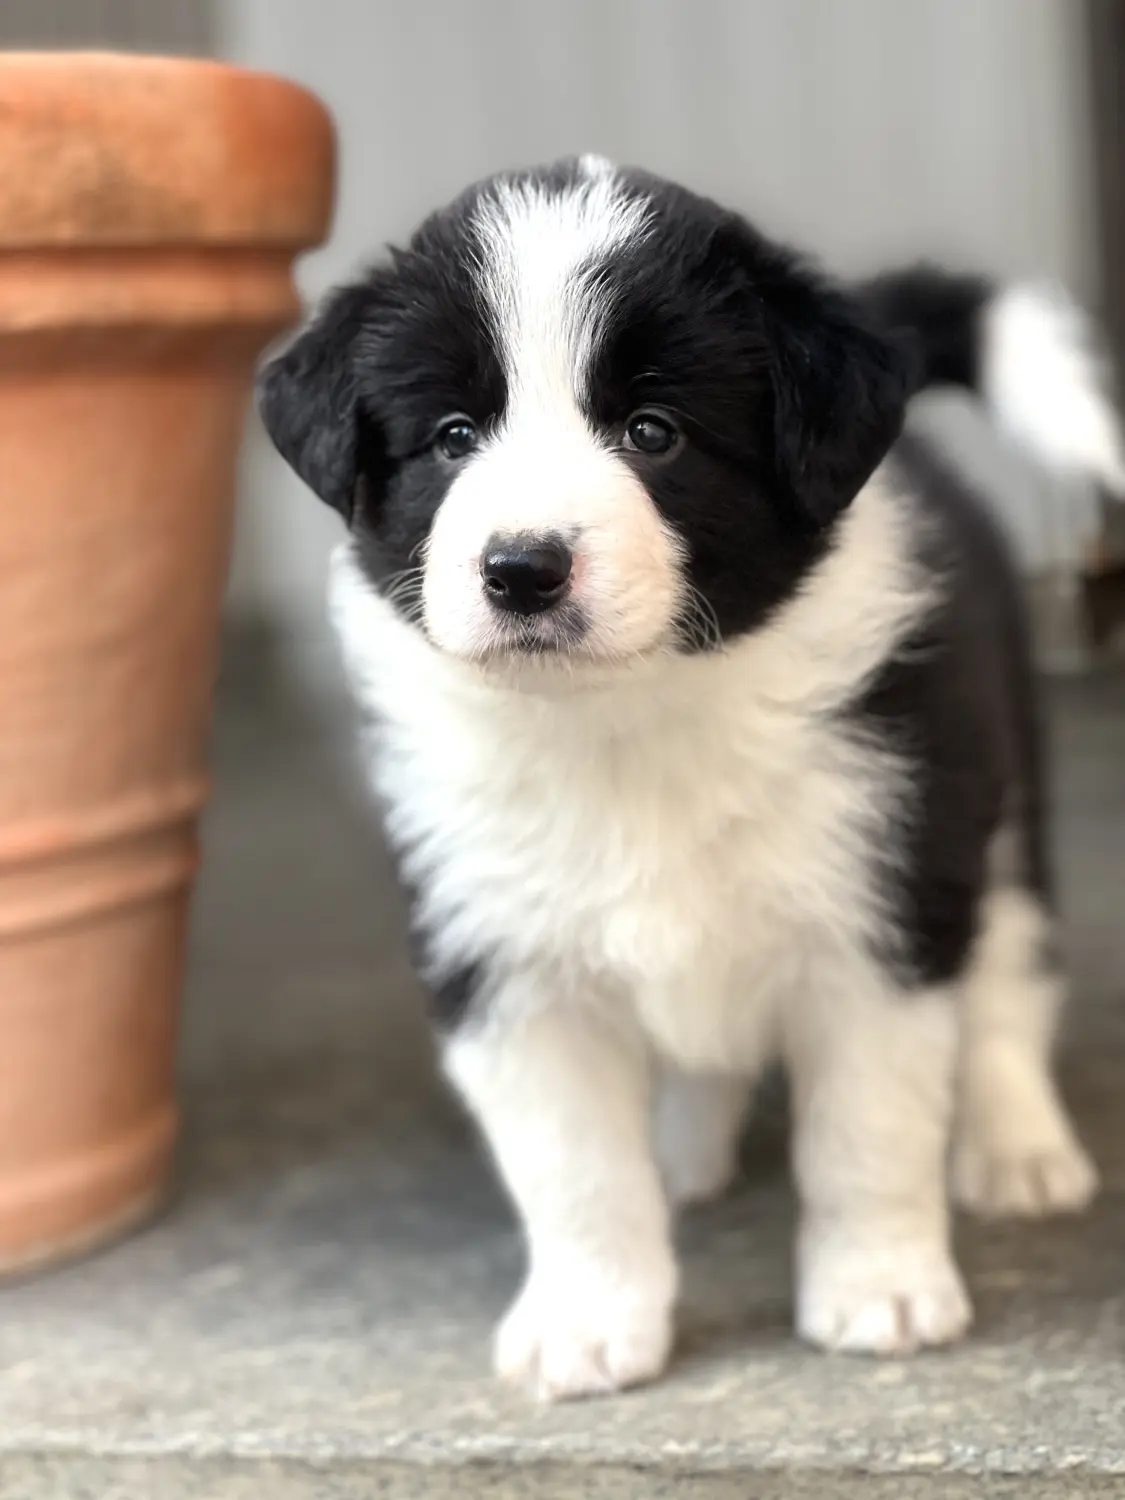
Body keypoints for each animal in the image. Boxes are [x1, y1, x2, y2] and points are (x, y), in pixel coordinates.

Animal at [262, 158, 1122, 1398]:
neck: (628, 718)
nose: (521, 569)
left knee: (1008, 966)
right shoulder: (503, 957)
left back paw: (1016, 1147)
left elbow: (870, 1129)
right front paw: (586, 1323)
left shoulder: (880, 903)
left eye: (653, 431)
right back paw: (684, 1149)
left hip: (991, 793)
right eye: (453, 436)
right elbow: (572, 1166)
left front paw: (881, 1291)